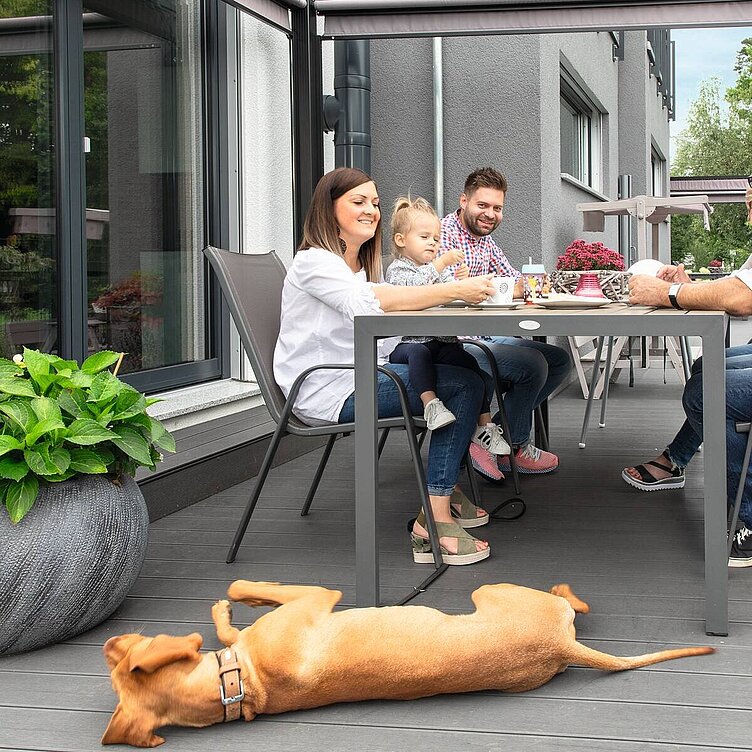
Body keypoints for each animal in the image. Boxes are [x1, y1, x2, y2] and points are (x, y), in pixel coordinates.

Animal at [101, 580, 716, 744]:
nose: (111, 642)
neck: (243, 683)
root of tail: (563, 650)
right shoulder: (317, 597)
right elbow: (237, 597)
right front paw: (229, 607)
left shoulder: (315, 598)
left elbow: (235, 603)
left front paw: (226, 610)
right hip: (496, 591)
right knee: (570, 599)